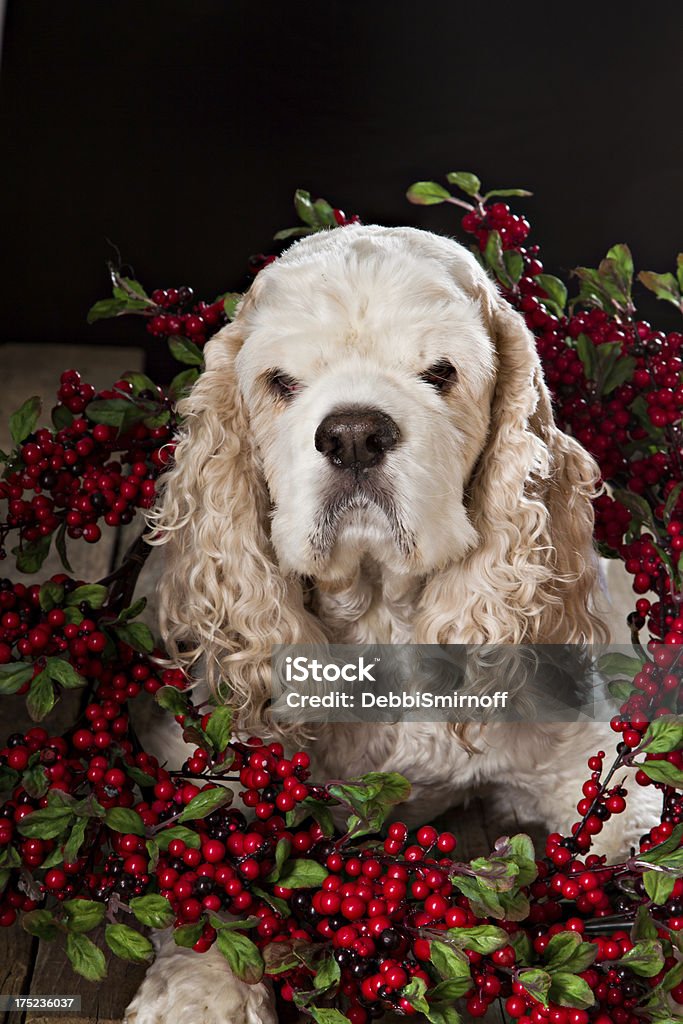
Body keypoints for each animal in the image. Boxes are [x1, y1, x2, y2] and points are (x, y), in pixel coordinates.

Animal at [124, 226, 663, 1024]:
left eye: (440, 372)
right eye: (280, 382)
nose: (353, 435)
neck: (381, 613)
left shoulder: (578, 758)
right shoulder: (203, 754)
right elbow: (202, 857)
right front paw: (197, 993)